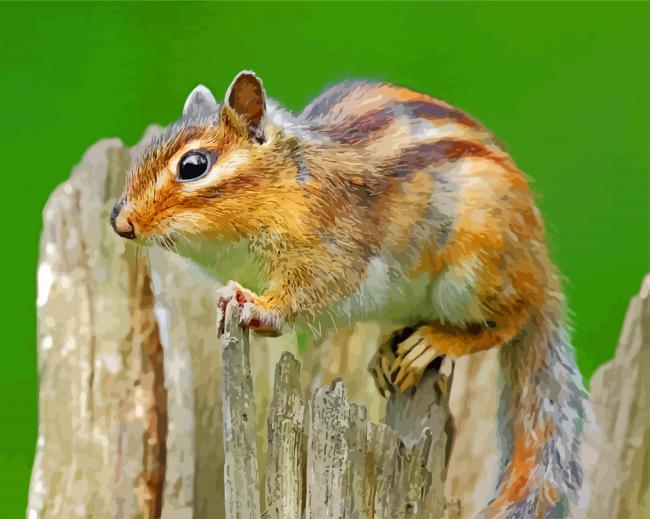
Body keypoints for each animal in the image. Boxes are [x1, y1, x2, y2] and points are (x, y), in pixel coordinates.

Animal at [111, 70, 586, 518]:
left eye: (194, 165)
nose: (121, 223)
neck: (289, 181)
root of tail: (540, 267)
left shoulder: (332, 253)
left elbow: (305, 292)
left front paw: (258, 307)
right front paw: (229, 299)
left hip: (478, 271)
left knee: (509, 321)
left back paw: (433, 342)